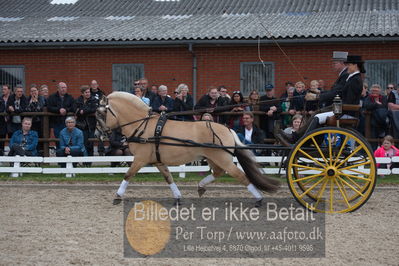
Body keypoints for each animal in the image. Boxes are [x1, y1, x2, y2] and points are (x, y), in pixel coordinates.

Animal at [95, 91, 280, 206]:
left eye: (101, 113)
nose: (100, 135)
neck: (143, 125)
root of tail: (227, 129)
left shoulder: (140, 159)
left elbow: (127, 175)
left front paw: (117, 196)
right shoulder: (157, 160)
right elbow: (168, 178)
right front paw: (177, 197)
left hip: (222, 159)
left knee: (240, 176)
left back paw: (258, 199)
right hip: (214, 158)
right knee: (218, 173)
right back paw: (201, 186)